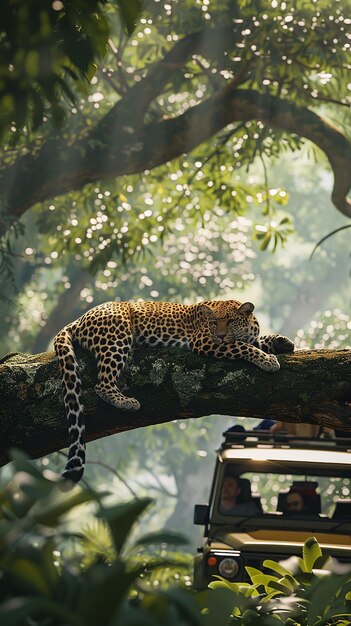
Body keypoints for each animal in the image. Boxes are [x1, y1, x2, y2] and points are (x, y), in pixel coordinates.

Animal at [54, 300, 294, 480]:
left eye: (231, 321)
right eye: (214, 323)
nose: (221, 335)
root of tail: (80, 318)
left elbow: (257, 341)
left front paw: (283, 342)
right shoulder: (205, 341)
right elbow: (243, 346)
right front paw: (267, 360)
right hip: (117, 333)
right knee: (102, 383)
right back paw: (126, 401)